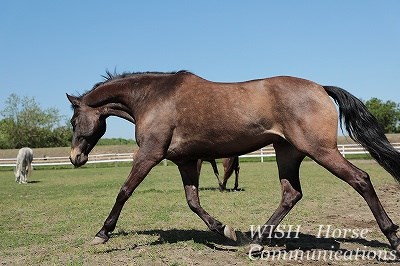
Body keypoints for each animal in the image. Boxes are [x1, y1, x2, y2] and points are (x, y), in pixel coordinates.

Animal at [66, 71, 400, 256]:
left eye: (73, 120)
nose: (75, 158)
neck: (152, 98)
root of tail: (320, 88)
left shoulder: (149, 154)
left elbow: (124, 191)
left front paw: (102, 234)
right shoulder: (185, 161)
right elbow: (193, 202)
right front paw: (225, 231)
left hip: (320, 150)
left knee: (361, 179)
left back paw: (393, 238)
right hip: (288, 152)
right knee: (291, 194)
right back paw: (256, 242)